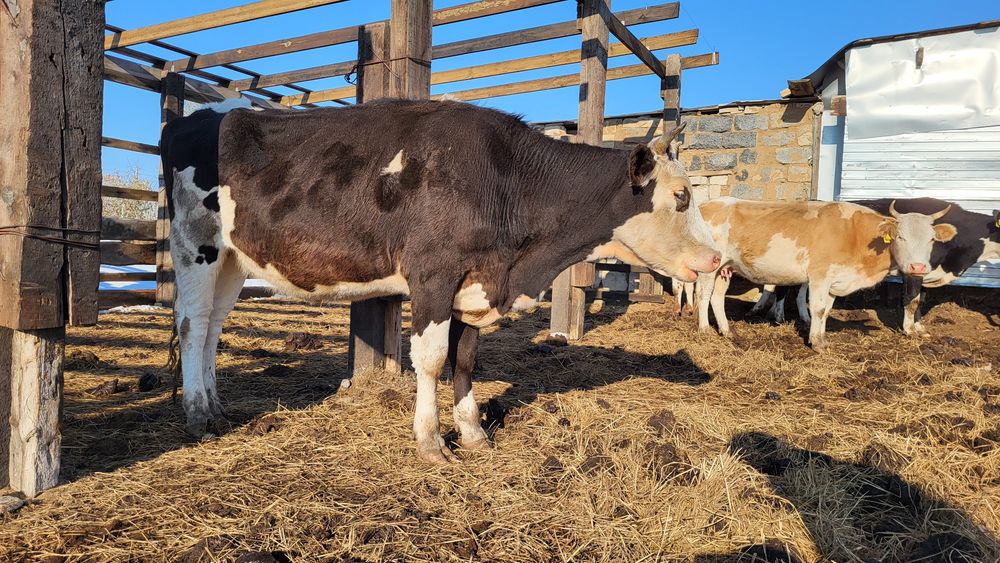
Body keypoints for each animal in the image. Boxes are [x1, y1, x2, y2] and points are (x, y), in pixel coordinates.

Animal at [160, 98, 720, 463]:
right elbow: (430, 359)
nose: (716, 258)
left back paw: (217, 409)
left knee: (212, 329)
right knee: (192, 325)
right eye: (682, 197)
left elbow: (465, 359)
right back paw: (197, 415)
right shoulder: (434, 272)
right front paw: (430, 440)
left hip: (232, 259)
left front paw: (472, 433)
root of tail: (194, 118)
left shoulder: (475, 283)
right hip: (195, 245)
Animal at [692, 198, 956, 351]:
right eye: (901, 237)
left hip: (725, 268)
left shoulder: (834, 280)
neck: (854, 235)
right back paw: (705, 330)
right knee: (704, 295)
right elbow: (817, 309)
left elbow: (827, 311)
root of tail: (707, 205)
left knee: (717, 297)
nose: (918, 268)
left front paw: (822, 338)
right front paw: (816, 343)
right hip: (711, 266)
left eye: (932, 239)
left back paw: (727, 331)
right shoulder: (819, 276)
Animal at [751, 199, 1000, 335]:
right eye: (900, 237)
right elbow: (912, 300)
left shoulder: (923, 269)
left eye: (932, 239)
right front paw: (909, 330)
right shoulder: (912, 271)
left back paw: (803, 317)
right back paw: (778, 316)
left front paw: (919, 328)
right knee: (783, 288)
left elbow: (921, 300)